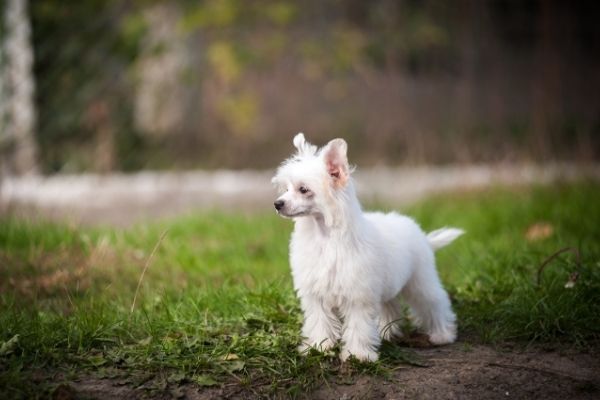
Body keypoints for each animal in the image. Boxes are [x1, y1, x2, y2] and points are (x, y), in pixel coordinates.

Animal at [272, 134, 464, 362]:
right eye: (286, 189)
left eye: (303, 189)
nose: (277, 203)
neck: (325, 237)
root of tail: (422, 237)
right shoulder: (316, 295)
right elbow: (320, 322)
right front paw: (319, 347)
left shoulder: (358, 296)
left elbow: (358, 326)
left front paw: (357, 355)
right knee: (390, 307)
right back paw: (386, 332)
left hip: (420, 282)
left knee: (435, 303)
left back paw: (443, 334)